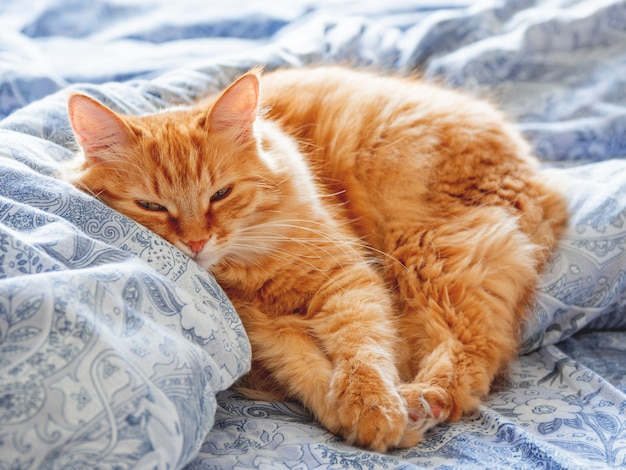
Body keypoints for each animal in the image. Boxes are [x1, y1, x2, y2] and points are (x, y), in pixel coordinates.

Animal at [64, 66, 564, 452]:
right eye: (152, 207)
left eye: (220, 194)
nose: (196, 242)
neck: (246, 268)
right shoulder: (266, 331)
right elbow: (308, 372)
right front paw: (358, 417)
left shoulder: (347, 281)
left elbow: (363, 351)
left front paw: (376, 409)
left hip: (430, 254)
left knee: (475, 348)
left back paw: (425, 398)